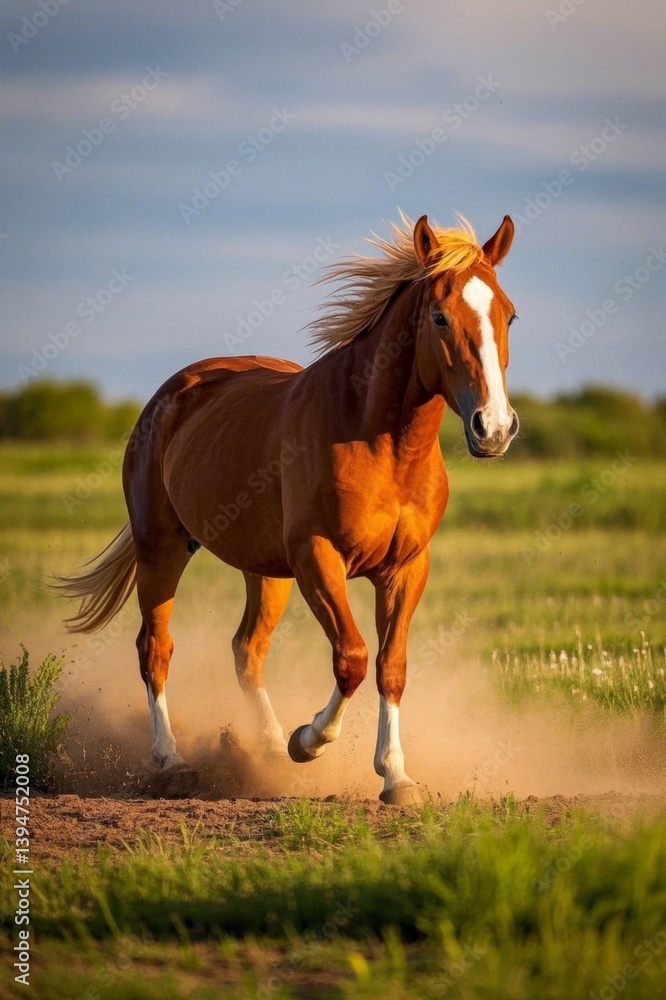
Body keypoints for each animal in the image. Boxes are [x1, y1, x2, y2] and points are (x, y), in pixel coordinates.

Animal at [56, 212, 519, 804]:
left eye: (509, 314)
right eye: (440, 316)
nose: (494, 428)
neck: (378, 441)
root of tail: (173, 392)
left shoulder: (406, 568)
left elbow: (390, 666)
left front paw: (396, 776)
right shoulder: (317, 557)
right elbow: (352, 658)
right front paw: (310, 740)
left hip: (265, 571)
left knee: (247, 650)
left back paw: (268, 752)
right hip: (161, 549)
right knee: (155, 648)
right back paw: (175, 762)